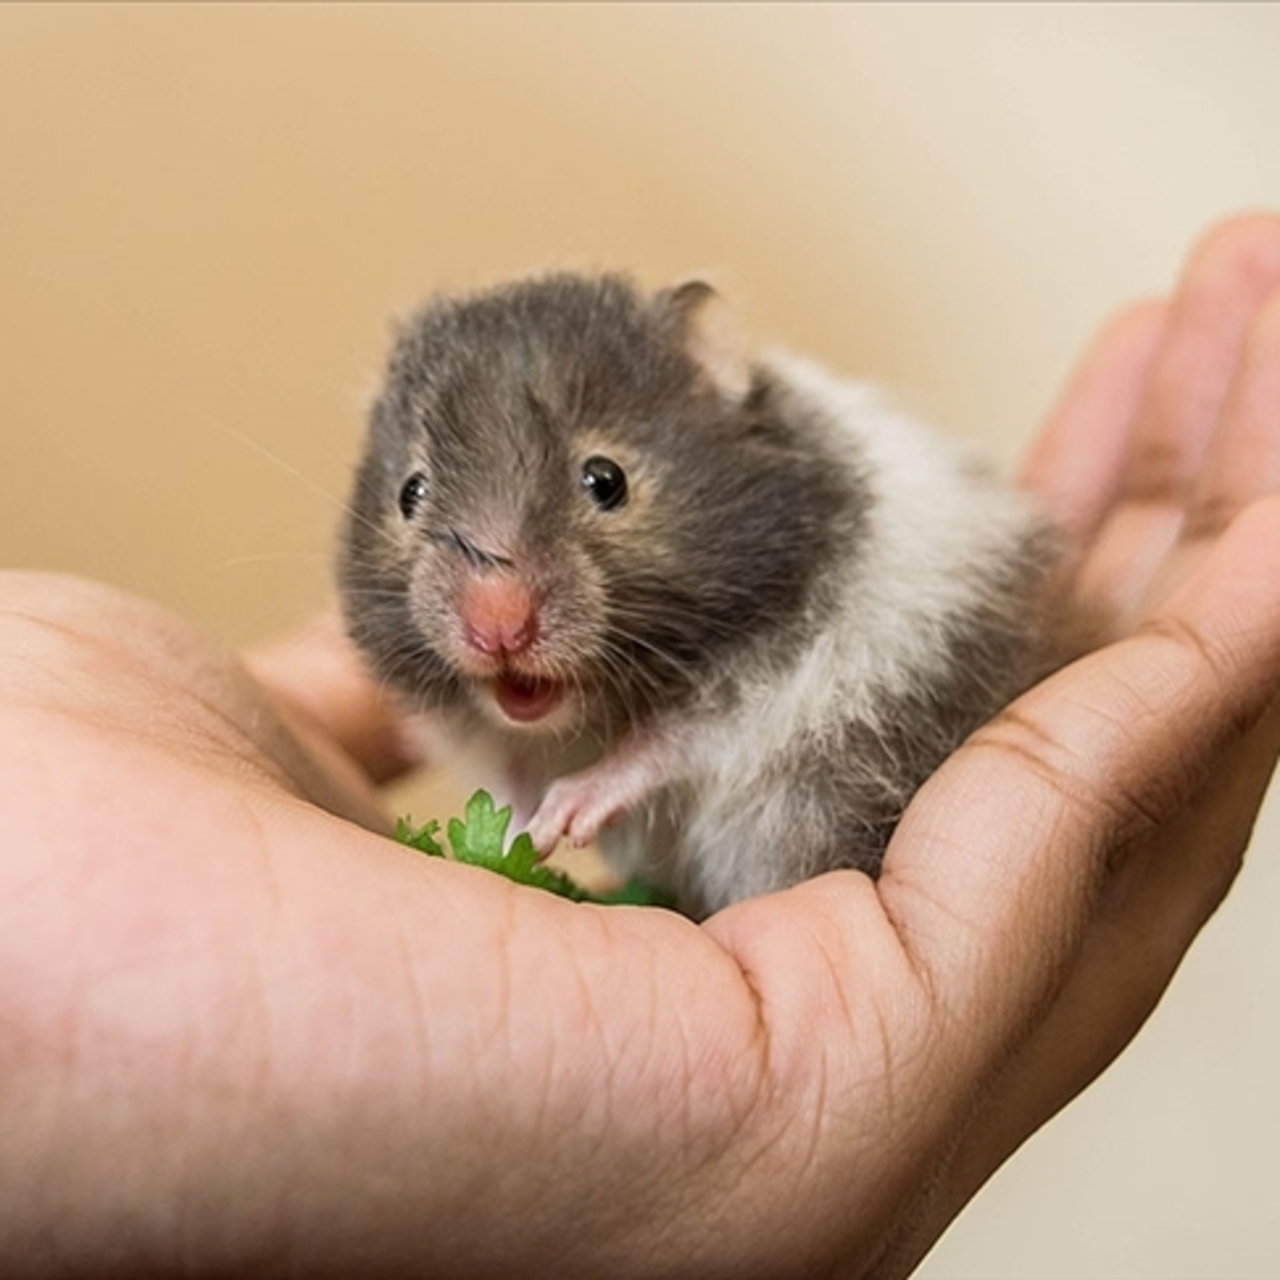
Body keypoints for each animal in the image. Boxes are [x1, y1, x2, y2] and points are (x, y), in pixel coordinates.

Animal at [335, 275, 1054, 921]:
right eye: (410, 494)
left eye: (606, 480)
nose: (497, 629)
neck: (588, 715)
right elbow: (506, 772)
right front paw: (520, 832)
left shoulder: (769, 678)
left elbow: (664, 743)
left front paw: (565, 813)